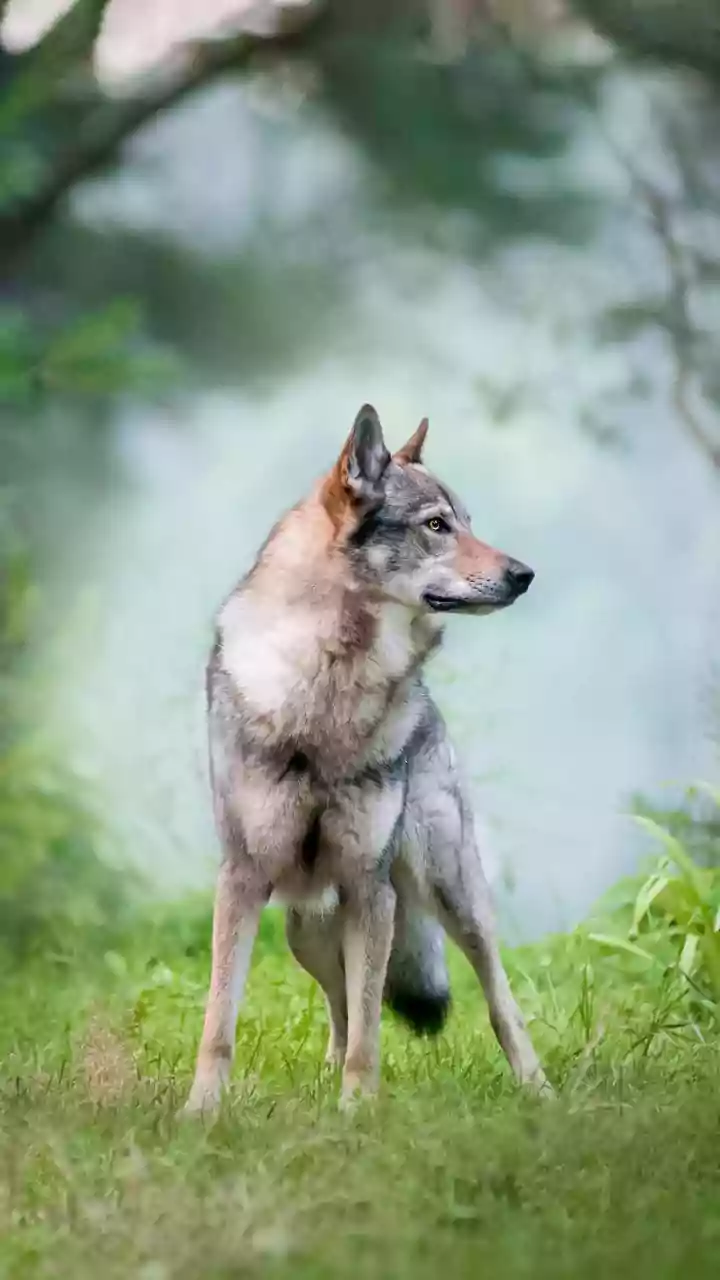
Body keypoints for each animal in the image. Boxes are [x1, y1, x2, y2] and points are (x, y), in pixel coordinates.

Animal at [185, 405, 548, 1113]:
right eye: (435, 525)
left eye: (468, 521)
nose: (524, 574)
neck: (330, 687)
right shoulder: (243, 879)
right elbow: (219, 1022)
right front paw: (200, 1113)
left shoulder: (368, 887)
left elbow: (372, 1034)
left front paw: (356, 1113)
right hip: (308, 925)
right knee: (341, 1002)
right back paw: (322, 1076)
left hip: (447, 893)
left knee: (493, 998)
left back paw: (540, 1090)